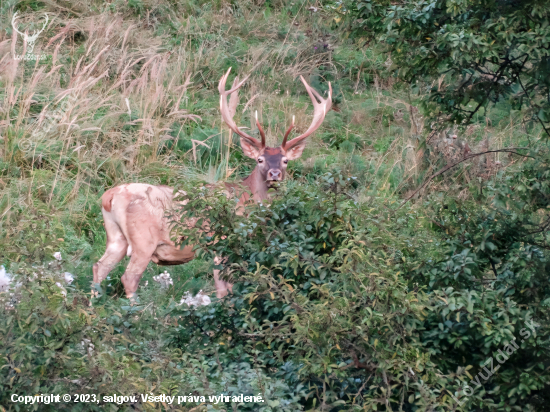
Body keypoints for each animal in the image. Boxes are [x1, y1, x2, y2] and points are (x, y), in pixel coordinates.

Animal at [92, 67, 334, 300]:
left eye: (285, 160)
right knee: (129, 277)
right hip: (143, 239)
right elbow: (224, 289)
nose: (274, 174)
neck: (248, 201)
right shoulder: (223, 241)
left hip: (115, 237)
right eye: (259, 159)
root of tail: (110, 196)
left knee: (99, 267)